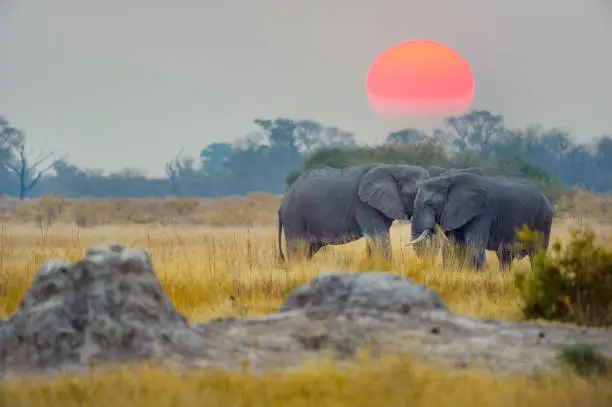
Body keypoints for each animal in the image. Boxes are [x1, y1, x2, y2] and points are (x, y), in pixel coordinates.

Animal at [278, 164, 430, 262]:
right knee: (298, 249)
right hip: (294, 217)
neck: (394, 167)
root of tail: (282, 202)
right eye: (415, 194)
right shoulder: (364, 205)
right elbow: (379, 239)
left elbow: (373, 242)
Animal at [406, 171, 556, 272]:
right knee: (505, 256)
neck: (448, 180)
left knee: (537, 254)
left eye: (429, 204)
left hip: (543, 220)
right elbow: (452, 245)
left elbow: (474, 244)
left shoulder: (483, 212)